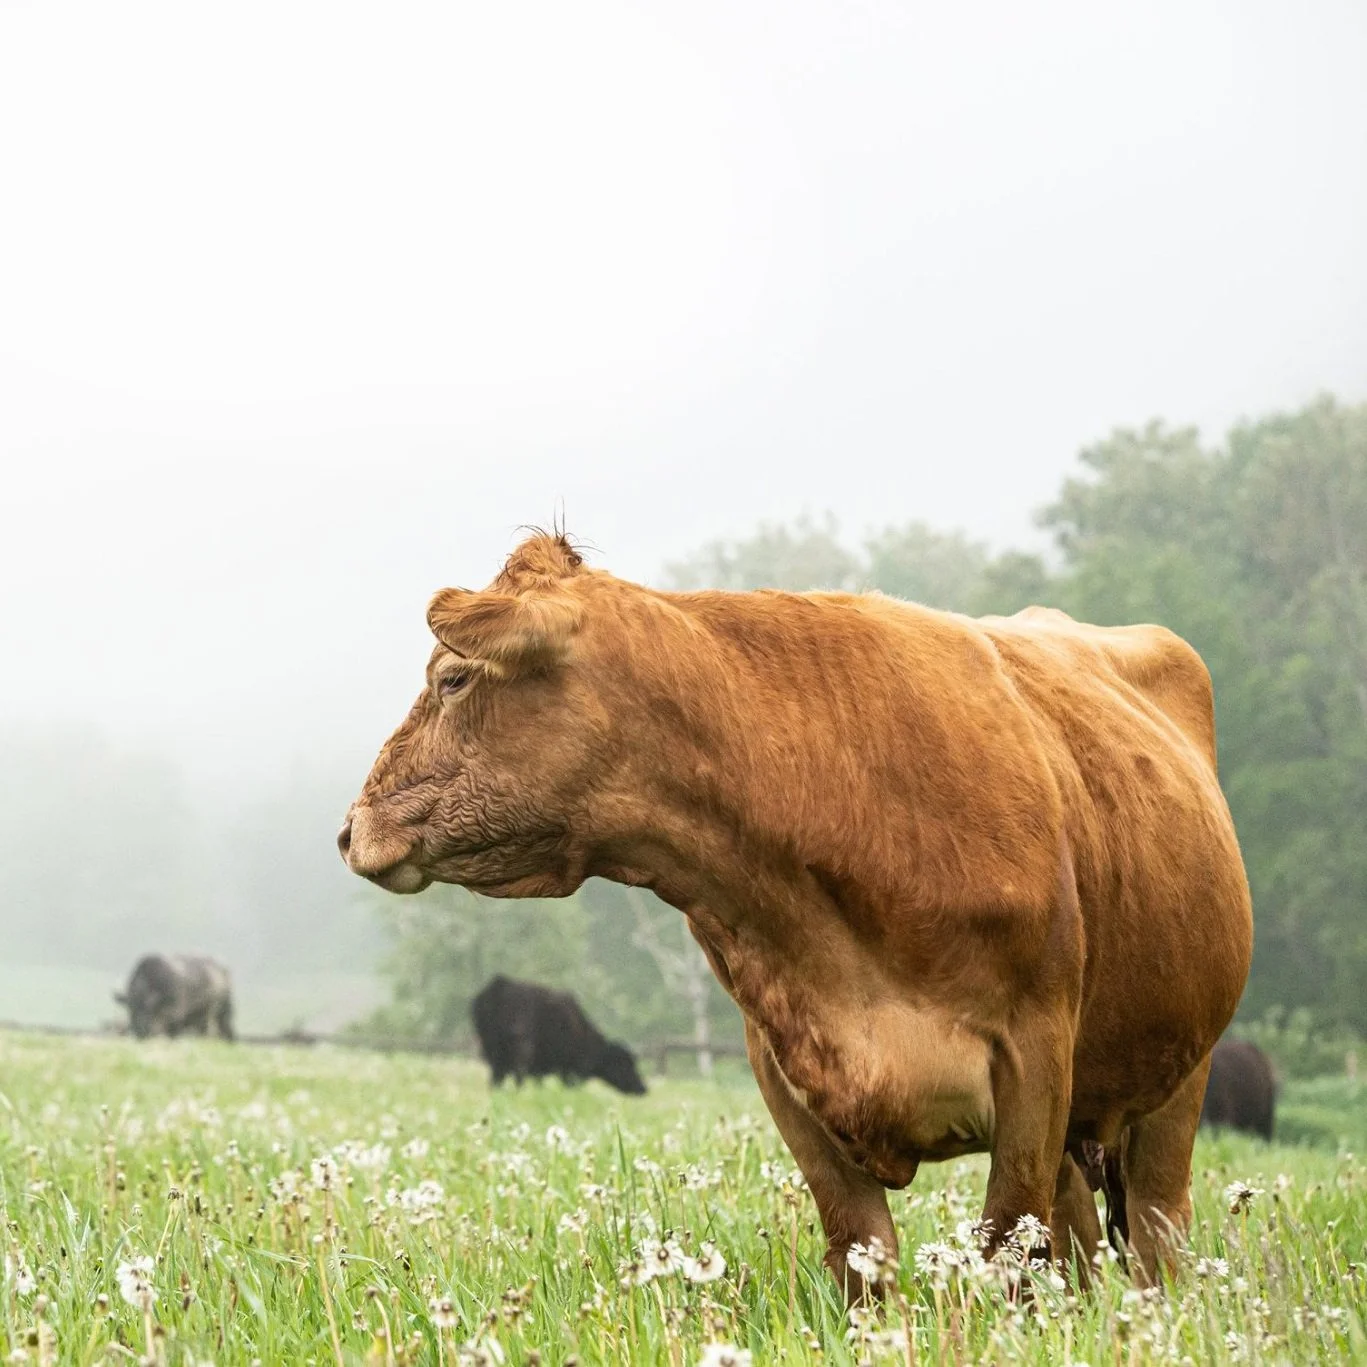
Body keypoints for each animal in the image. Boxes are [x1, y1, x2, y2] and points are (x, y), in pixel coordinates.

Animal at [470, 974, 647, 1094]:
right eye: (626, 1063)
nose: (643, 1088)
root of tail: (499, 985)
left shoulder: (541, 1068)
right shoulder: (569, 1073)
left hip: (494, 1050)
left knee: (497, 1078)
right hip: (520, 1048)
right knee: (517, 1074)